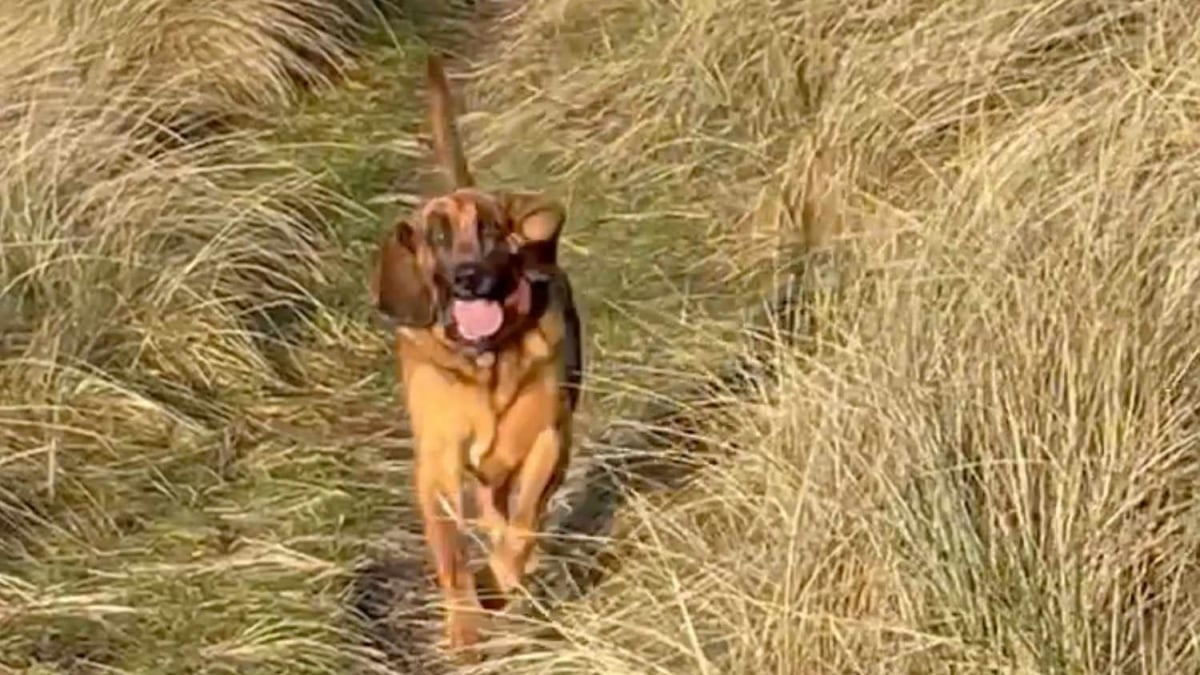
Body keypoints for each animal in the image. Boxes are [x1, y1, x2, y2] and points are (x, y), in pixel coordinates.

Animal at [369, 52, 585, 658]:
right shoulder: (438, 466)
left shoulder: (547, 440)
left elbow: (526, 521)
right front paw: (464, 621)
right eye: (437, 237)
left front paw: (501, 577)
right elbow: (452, 554)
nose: (467, 278)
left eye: (490, 230)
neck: (486, 359)